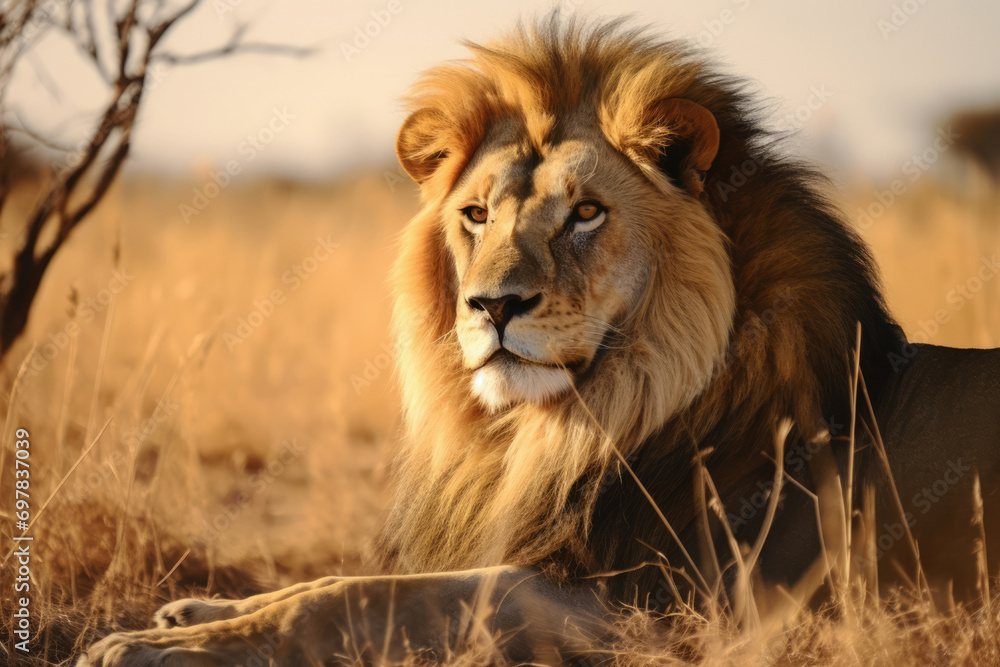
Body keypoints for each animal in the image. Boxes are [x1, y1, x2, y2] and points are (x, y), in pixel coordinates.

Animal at [80, 15, 1000, 666]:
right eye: (476, 214)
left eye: (586, 212)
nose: (493, 304)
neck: (564, 427)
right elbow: (349, 579)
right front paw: (195, 611)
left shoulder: (663, 609)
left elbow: (365, 595)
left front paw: (151, 644)